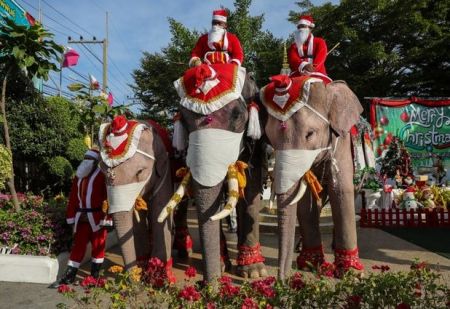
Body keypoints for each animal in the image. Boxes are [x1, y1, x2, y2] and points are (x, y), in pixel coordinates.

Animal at [98, 115, 176, 280]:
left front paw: (159, 276)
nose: (134, 280)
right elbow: (136, 216)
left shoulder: (164, 170)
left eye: (140, 172)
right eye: (102, 172)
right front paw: (143, 266)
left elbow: (159, 207)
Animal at [158, 63, 268, 282]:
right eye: (183, 120)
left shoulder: (255, 146)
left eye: (237, 115)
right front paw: (223, 264)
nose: (206, 283)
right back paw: (184, 250)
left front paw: (253, 272)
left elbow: (250, 193)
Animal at [262, 75, 364, 280]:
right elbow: (306, 200)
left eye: (310, 134)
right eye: (269, 138)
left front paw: (351, 274)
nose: (280, 281)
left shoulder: (341, 142)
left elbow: (341, 191)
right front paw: (310, 266)